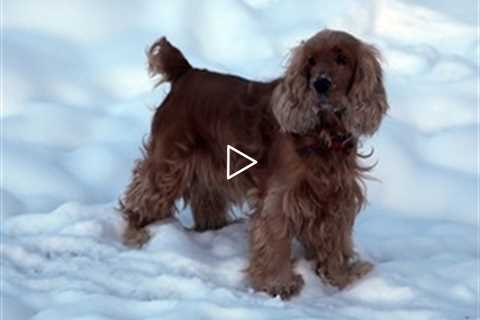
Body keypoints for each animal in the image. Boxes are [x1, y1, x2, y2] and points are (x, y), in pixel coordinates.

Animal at [119, 30, 386, 300]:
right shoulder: (281, 198)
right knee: (141, 196)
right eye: (310, 61)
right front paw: (277, 284)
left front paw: (340, 278)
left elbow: (335, 242)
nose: (320, 84)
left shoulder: (336, 199)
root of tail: (185, 72)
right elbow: (275, 242)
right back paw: (138, 232)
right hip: (168, 163)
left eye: (342, 59)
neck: (324, 136)